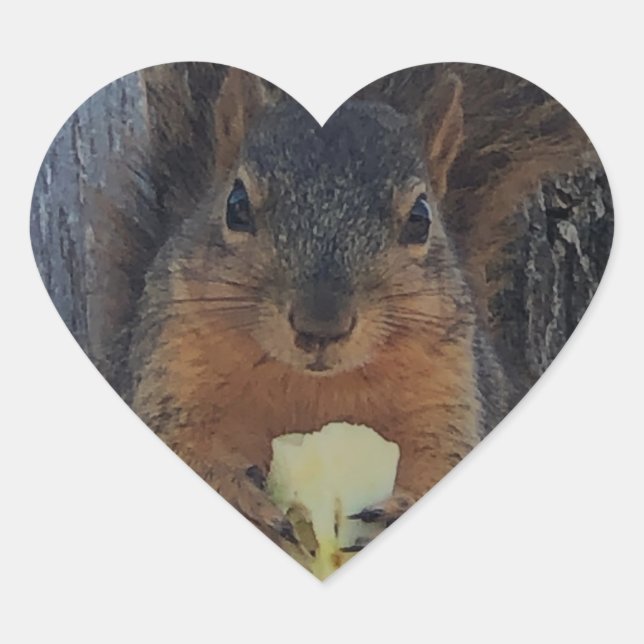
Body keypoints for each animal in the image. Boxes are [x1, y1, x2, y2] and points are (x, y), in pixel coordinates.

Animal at [125, 67, 519, 546]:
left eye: (420, 218)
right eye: (236, 205)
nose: (321, 326)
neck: (313, 388)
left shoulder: (448, 393)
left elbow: (442, 456)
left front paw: (400, 506)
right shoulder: (175, 371)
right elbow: (186, 443)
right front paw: (243, 498)